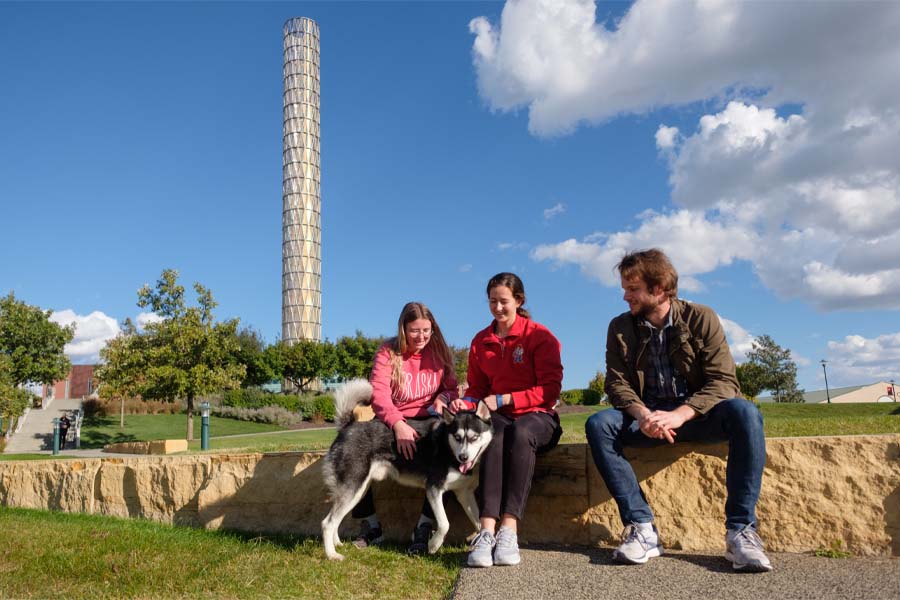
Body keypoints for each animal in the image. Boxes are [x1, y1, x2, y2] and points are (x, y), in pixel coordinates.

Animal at [322, 380, 492, 564]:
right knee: (327, 523)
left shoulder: (464, 493)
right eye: (457, 437)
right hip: (354, 487)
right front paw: (433, 545)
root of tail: (347, 426)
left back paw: (337, 544)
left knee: (335, 518)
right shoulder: (433, 488)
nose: (463, 457)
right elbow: (444, 524)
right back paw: (332, 555)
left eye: (474, 437)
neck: (449, 449)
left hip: (359, 490)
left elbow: (479, 522)